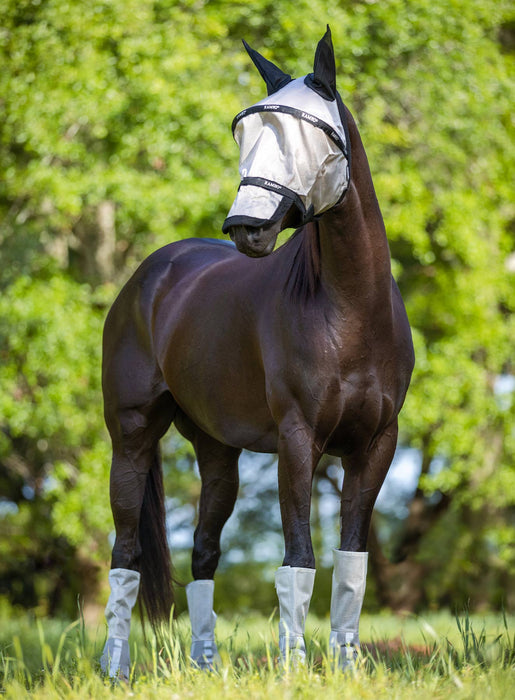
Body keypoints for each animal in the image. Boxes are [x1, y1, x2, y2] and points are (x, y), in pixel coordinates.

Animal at [99, 27, 414, 677]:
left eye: (309, 133)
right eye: (243, 131)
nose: (246, 228)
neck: (350, 309)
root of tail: (151, 275)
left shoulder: (376, 444)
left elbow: (352, 561)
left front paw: (346, 666)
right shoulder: (298, 439)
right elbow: (298, 555)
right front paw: (295, 666)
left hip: (218, 452)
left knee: (202, 552)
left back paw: (205, 664)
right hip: (132, 437)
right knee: (125, 551)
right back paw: (113, 668)